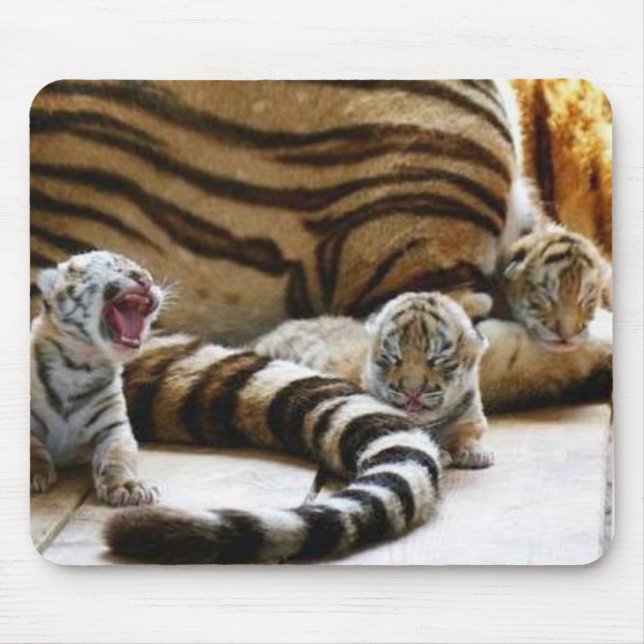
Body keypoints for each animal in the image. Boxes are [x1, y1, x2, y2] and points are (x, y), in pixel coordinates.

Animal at [30, 251, 163, 506]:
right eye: (115, 268)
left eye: (147, 273)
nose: (148, 280)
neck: (80, 364)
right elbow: (34, 448)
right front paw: (35, 476)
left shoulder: (113, 427)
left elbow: (118, 455)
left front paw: (129, 487)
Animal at [252, 291, 494, 470]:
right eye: (392, 357)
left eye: (437, 359)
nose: (412, 391)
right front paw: (442, 454)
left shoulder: (471, 414)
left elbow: (467, 430)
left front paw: (473, 451)